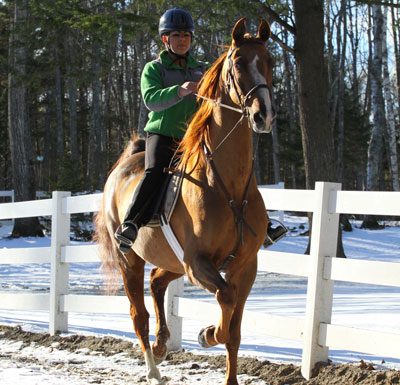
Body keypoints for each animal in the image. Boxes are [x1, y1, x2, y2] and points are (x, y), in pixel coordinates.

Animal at [95, 18, 274, 384]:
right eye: (238, 62)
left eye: (270, 61)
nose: (262, 115)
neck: (228, 188)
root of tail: (124, 166)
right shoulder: (197, 263)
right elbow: (225, 300)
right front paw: (207, 333)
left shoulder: (245, 265)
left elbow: (235, 329)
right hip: (129, 260)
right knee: (138, 314)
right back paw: (153, 368)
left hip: (170, 261)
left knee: (156, 281)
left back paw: (163, 343)